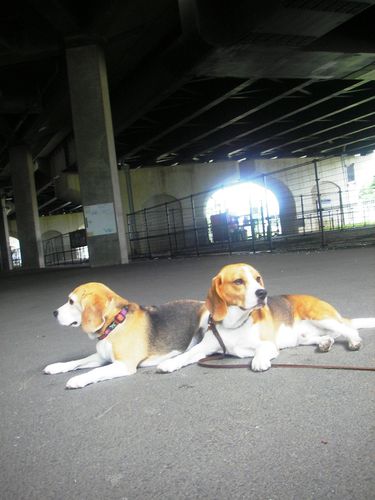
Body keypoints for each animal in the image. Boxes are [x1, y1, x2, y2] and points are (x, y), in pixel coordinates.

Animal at [44, 284, 209, 388]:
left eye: (71, 301)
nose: (54, 313)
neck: (115, 325)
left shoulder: (123, 364)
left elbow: (96, 371)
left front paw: (79, 379)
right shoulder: (102, 357)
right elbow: (77, 362)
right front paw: (57, 367)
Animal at [156, 264, 375, 374]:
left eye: (258, 278)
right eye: (238, 281)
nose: (263, 293)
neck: (236, 324)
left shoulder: (269, 344)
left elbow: (261, 350)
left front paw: (259, 360)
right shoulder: (204, 348)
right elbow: (187, 354)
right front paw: (170, 363)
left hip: (320, 315)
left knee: (349, 329)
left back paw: (354, 342)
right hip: (303, 335)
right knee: (328, 336)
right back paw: (324, 343)